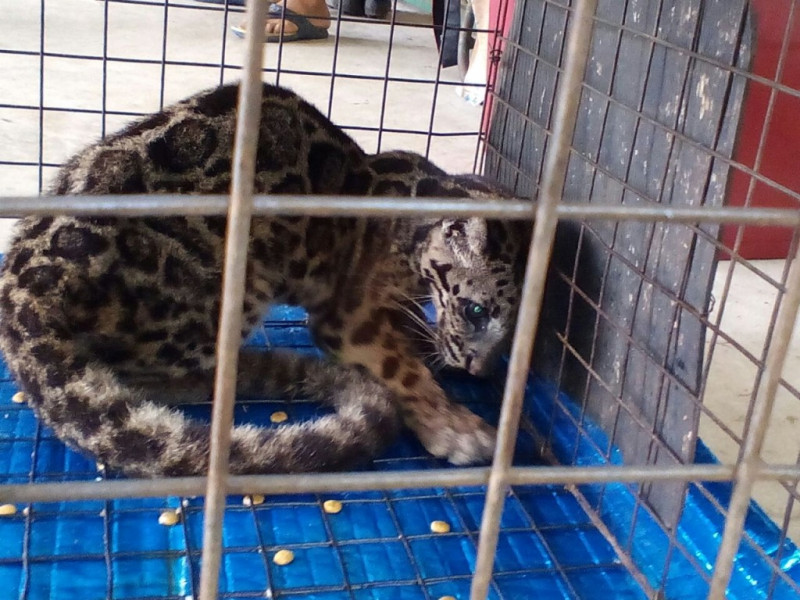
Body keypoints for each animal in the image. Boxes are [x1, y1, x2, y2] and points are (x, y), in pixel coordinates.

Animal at [0, 82, 529, 478]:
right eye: (477, 311)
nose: (479, 370)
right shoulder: (348, 319)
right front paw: (453, 426)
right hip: (236, 286)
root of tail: (19, 289)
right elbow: (402, 370)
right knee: (144, 376)